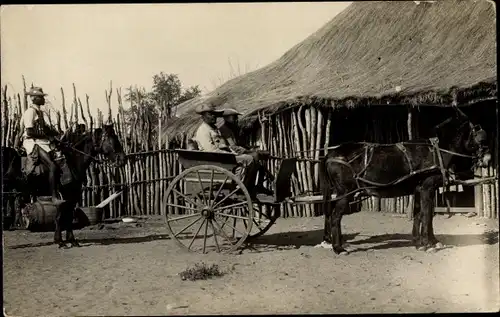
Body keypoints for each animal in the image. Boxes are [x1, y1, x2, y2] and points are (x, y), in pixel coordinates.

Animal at [320, 107, 492, 254]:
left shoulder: (419, 189)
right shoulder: (427, 187)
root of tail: (330, 154)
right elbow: (427, 214)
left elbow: (419, 214)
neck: (436, 151)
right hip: (345, 192)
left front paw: (421, 242)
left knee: (331, 216)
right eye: (480, 136)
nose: (488, 159)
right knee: (335, 217)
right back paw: (338, 248)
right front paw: (429, 244)